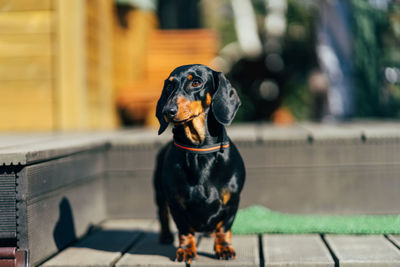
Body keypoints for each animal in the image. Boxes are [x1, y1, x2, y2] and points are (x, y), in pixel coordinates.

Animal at [154, 64, 245, 264]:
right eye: (169, 86)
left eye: (196, 82)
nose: (167, 111)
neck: (199, 150)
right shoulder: (176, 204)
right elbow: (184, 230)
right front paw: (186, 250)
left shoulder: (232, 202)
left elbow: (224, 228)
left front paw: (224, 248)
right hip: (159, 193)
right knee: (162, 214)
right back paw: (165, 236)